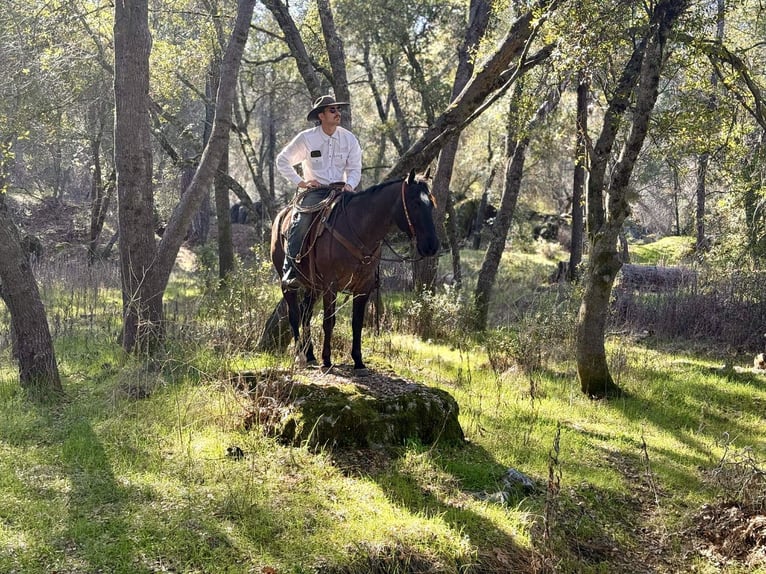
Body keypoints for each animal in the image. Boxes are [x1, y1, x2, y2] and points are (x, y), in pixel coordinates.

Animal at [270, 169, 440, 373]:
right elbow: (329, 321)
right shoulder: (330, 285)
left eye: (431, 203)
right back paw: (299, 356)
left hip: (313, 286)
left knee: (306, 313)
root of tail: (281, 215)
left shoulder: (363, 287)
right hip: (288, 282)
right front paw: (327, 359)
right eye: (415, 203)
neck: (358, 230)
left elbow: (357, 322)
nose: (431, 246)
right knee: (294, 314)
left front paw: (358, 360)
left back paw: (310, 354)